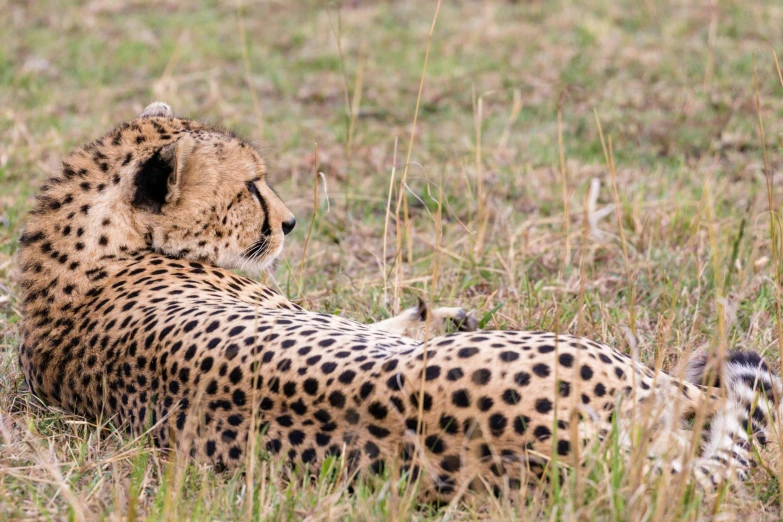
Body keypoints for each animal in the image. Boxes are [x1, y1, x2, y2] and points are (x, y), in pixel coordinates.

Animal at [15, 102, 780, 500]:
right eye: (249, 188)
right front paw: (433, 315)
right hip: (626, 369)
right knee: (729, 409)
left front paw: (433, 312)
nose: (290, 222)